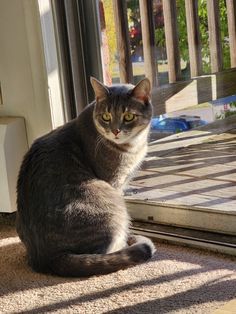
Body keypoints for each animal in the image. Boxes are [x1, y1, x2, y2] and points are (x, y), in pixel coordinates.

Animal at [17, 76, 157, 278]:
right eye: (106, 117)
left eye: (128, 116)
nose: (115, 131)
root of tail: (46, 258)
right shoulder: (115, 182)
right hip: (111, 207)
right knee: (104, 252)